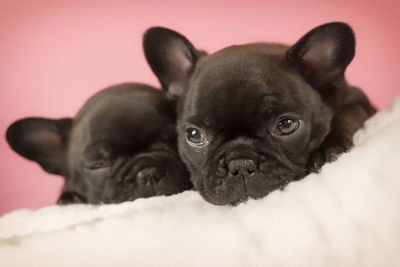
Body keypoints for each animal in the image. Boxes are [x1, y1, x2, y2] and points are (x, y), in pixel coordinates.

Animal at [144, 22, 376, 207]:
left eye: (286, 125)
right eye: (194, 136)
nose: (240, 165)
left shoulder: (358, 101)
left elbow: (344, 116)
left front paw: (329, 147)